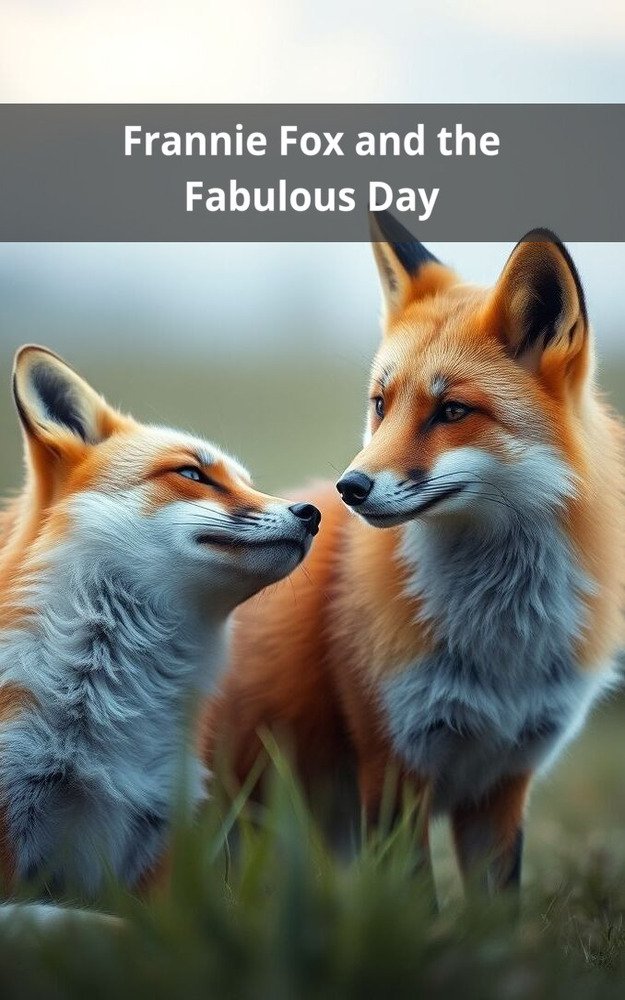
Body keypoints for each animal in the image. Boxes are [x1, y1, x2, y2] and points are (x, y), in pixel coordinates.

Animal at [204, 211, 625, 894]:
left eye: (451, 410)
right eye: (381, 404)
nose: (349, 489)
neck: (500, 647)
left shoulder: (503, 785)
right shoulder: (393, 769)